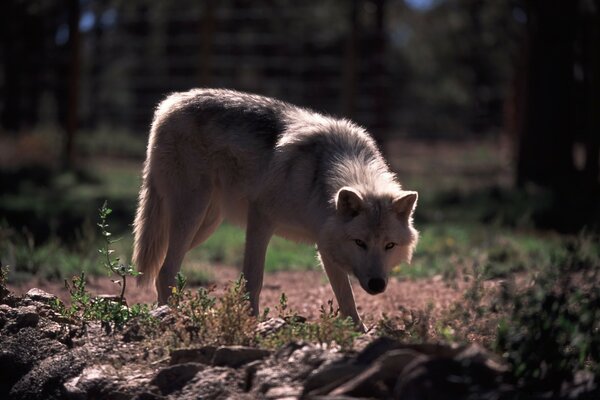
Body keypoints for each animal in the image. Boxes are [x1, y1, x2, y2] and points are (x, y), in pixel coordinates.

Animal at [134, 89, 420, 326]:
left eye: (389, 245)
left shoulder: (325, 243)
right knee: (165, 272)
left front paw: (358, 333)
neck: (319, 178)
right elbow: (253, 279)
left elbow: (346, 298)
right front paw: (250, 324)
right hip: (192, 215)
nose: (377, 284)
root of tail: (169, 104)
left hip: (205, 225)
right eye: (360, 243)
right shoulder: (260, 219)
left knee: (162, 268)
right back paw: (169, 318)